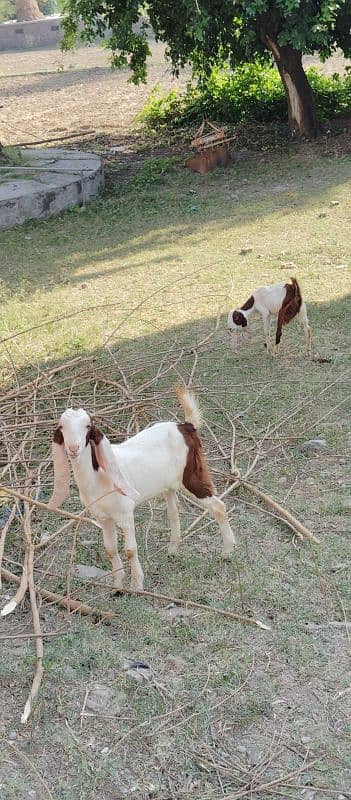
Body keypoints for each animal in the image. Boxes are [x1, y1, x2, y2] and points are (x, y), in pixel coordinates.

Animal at [48, 390, 236, 592]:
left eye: (87, 426)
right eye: (61, 427)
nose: (73, 448)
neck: (98, 476)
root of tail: (186, 426)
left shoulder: (125, 512)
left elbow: (130, 550)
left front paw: (136, 584)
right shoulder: (102, 517)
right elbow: (110, 549)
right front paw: (117, 585)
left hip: (190, 476)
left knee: (218, 506)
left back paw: (227, 552)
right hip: (168, 484)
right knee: (173, 511)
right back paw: (172, 550)